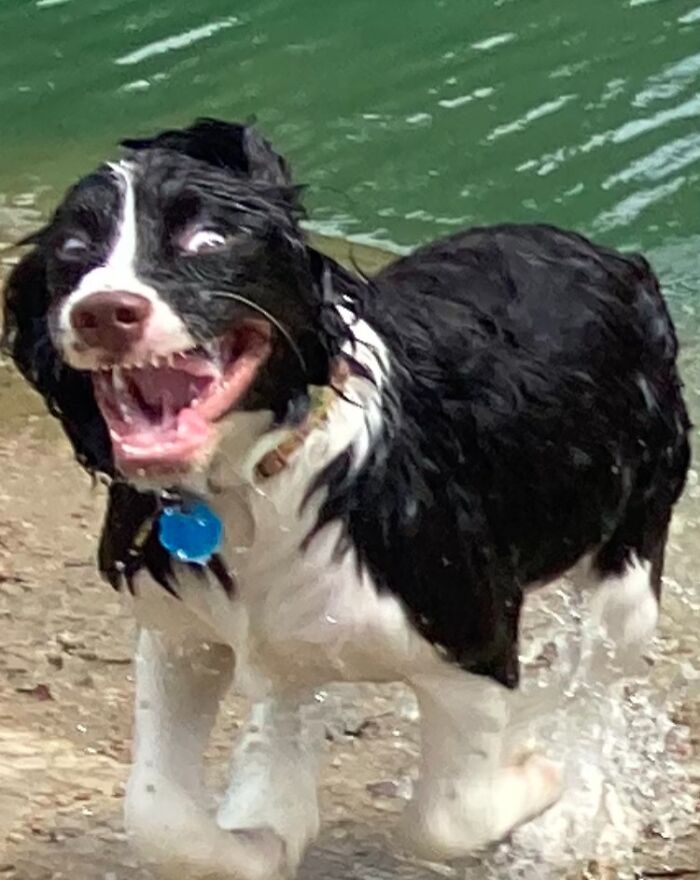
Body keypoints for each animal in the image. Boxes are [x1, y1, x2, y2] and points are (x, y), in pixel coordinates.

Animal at [0, 120, 688, 876]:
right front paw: (263, 839)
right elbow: (156, 815)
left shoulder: (469, 640)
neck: (258, 477)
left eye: (208, 240)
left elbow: (445, 817)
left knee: (599, 681)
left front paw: (538, 775)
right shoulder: (180, 633)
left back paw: (576, 810)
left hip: (631, 555)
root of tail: (611, 255)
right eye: (73, 251)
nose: (103, 312)